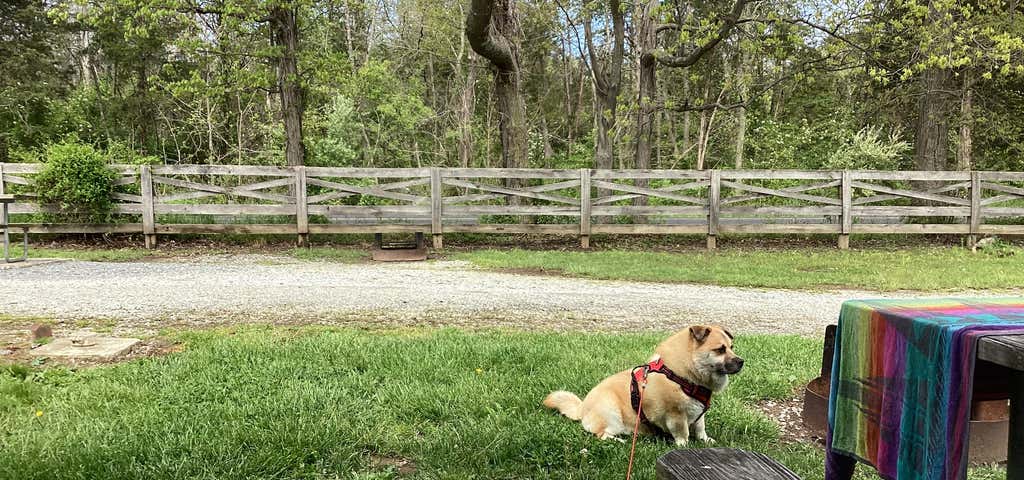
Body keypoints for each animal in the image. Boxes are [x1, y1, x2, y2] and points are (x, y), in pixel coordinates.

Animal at [544, 323, 745, 444]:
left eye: (732, 348)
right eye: (720, 349)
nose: (741, 361)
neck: (684, 373)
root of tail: (582, 408)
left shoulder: (698, 411)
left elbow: (700, 428)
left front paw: (705, 440)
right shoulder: (676, 415)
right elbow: (683, 433)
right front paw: (685, 446)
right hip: (611, 414)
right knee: (602, 435)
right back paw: (619, 441)